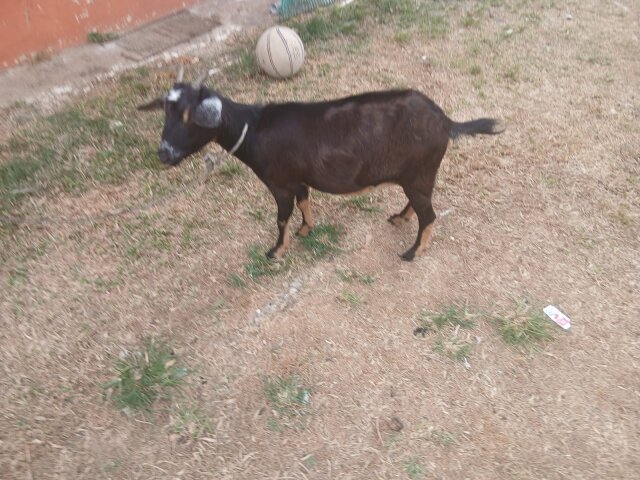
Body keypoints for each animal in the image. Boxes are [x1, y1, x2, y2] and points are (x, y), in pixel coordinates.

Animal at [138, 67, 504, 261]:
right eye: (166, 112)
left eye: (190, 117)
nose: (164, 154)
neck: (252, 127)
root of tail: (446, 121)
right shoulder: (298, 179)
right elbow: (305, 201)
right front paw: (306, 229)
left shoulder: (279, 182)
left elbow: (281, 217)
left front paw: (276, 251)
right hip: (417, 174)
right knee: (419, 205)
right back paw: (400, 218)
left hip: (419, 171)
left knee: (429, 214)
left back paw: (412, 252)